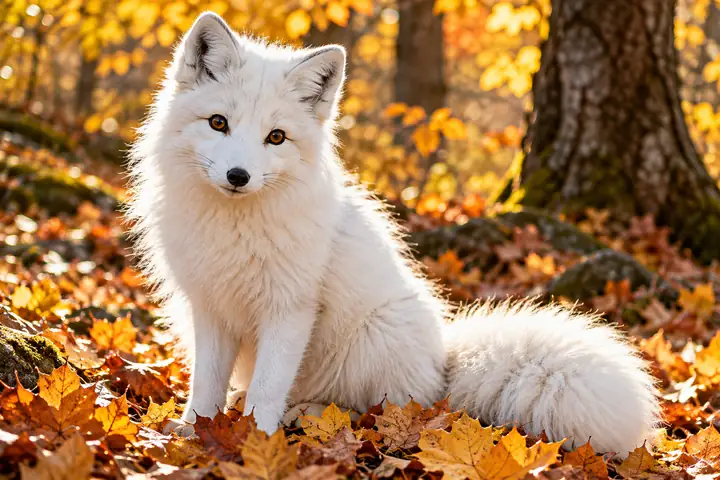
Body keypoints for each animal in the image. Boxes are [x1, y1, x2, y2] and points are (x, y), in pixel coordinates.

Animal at [126, 11, 660, 455]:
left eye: (275, 137)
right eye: (218, 123)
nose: (238, 176)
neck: (234, 229)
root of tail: (443, 370)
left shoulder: (290, 309)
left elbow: (268, 389)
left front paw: (254, 439)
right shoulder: (211, 308)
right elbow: (205, 385)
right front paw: (194, 431)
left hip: (374, 340)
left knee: (375, 408)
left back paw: (310, 414)